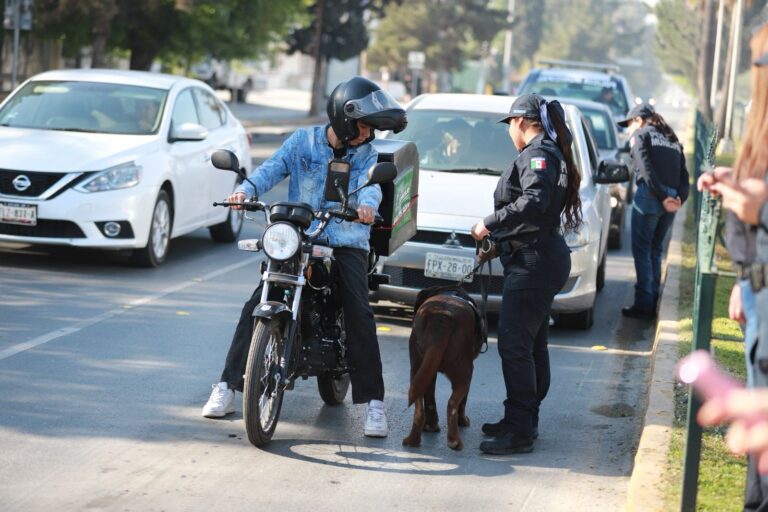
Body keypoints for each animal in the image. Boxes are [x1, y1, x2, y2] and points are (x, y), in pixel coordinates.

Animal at [402, 286, 486, 450]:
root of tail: (441, 318)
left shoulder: (430, 368)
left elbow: (430, 399)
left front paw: (431, 425)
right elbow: (463, 401)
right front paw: (463, 421)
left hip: (417, 368)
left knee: (419, 408)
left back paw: (413, 440)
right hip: (465, 372)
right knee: (452, 404)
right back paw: (454, 441)